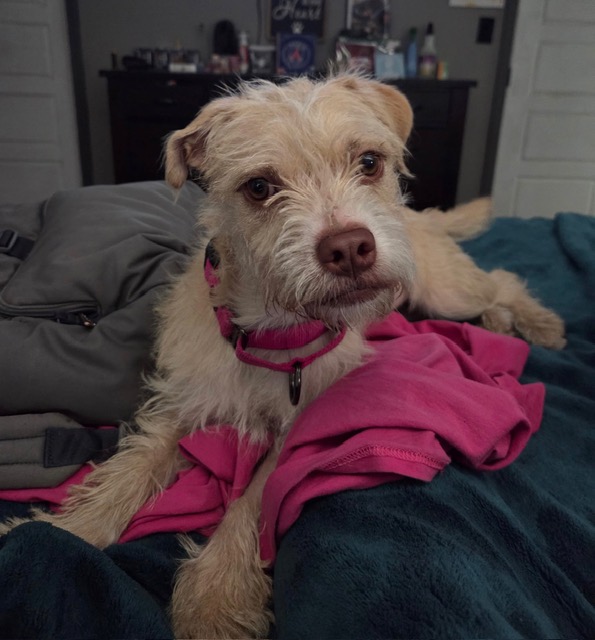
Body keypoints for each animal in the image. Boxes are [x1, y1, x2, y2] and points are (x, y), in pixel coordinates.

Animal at [0, 74, 565, 638]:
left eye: (369, 162)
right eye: (259, 187)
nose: (349, 247)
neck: (271, 334)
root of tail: (418, 216)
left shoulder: (295, 433)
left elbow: (251, 501)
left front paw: (216, 594)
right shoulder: (181, 408)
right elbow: (129, 472)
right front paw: (64, 531)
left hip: (442, 293)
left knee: (501, 280)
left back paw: (537, 323)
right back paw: (501, 323)